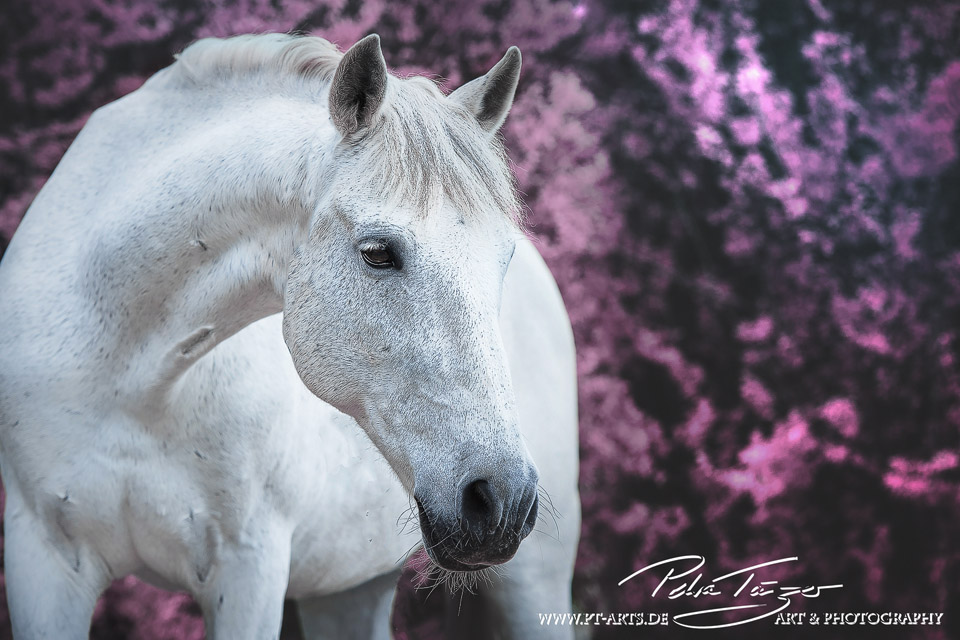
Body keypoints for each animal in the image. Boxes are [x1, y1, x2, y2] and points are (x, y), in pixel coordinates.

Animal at [0, 32, 576, 636]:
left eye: (503, 258)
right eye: (377, 252)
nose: (500, 500)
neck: (129, 382)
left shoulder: (249, 566)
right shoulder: (41, 558)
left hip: (534, 581)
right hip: (348, 590)